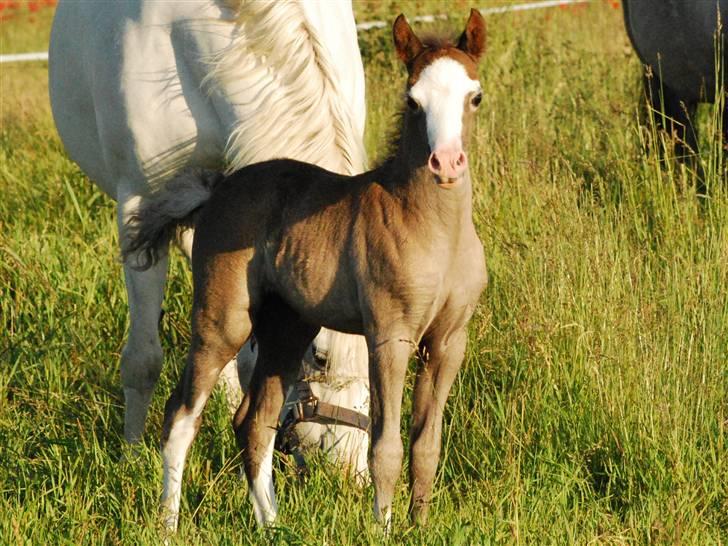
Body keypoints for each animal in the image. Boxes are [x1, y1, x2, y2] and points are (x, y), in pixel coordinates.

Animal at [125, 9, 490, 532]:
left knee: (254, 421)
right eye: (413, 99)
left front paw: (420, 528)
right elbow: (387, 448)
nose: (445, 162)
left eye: (474, 96)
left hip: (287, 328)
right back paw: (168, 526)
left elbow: (427, 446)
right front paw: (382, 530)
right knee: (181, 416)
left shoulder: (448, 342)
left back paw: (272, 527)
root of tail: (217, 188)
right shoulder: (389, 336)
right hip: (223, 320)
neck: (433, 230)